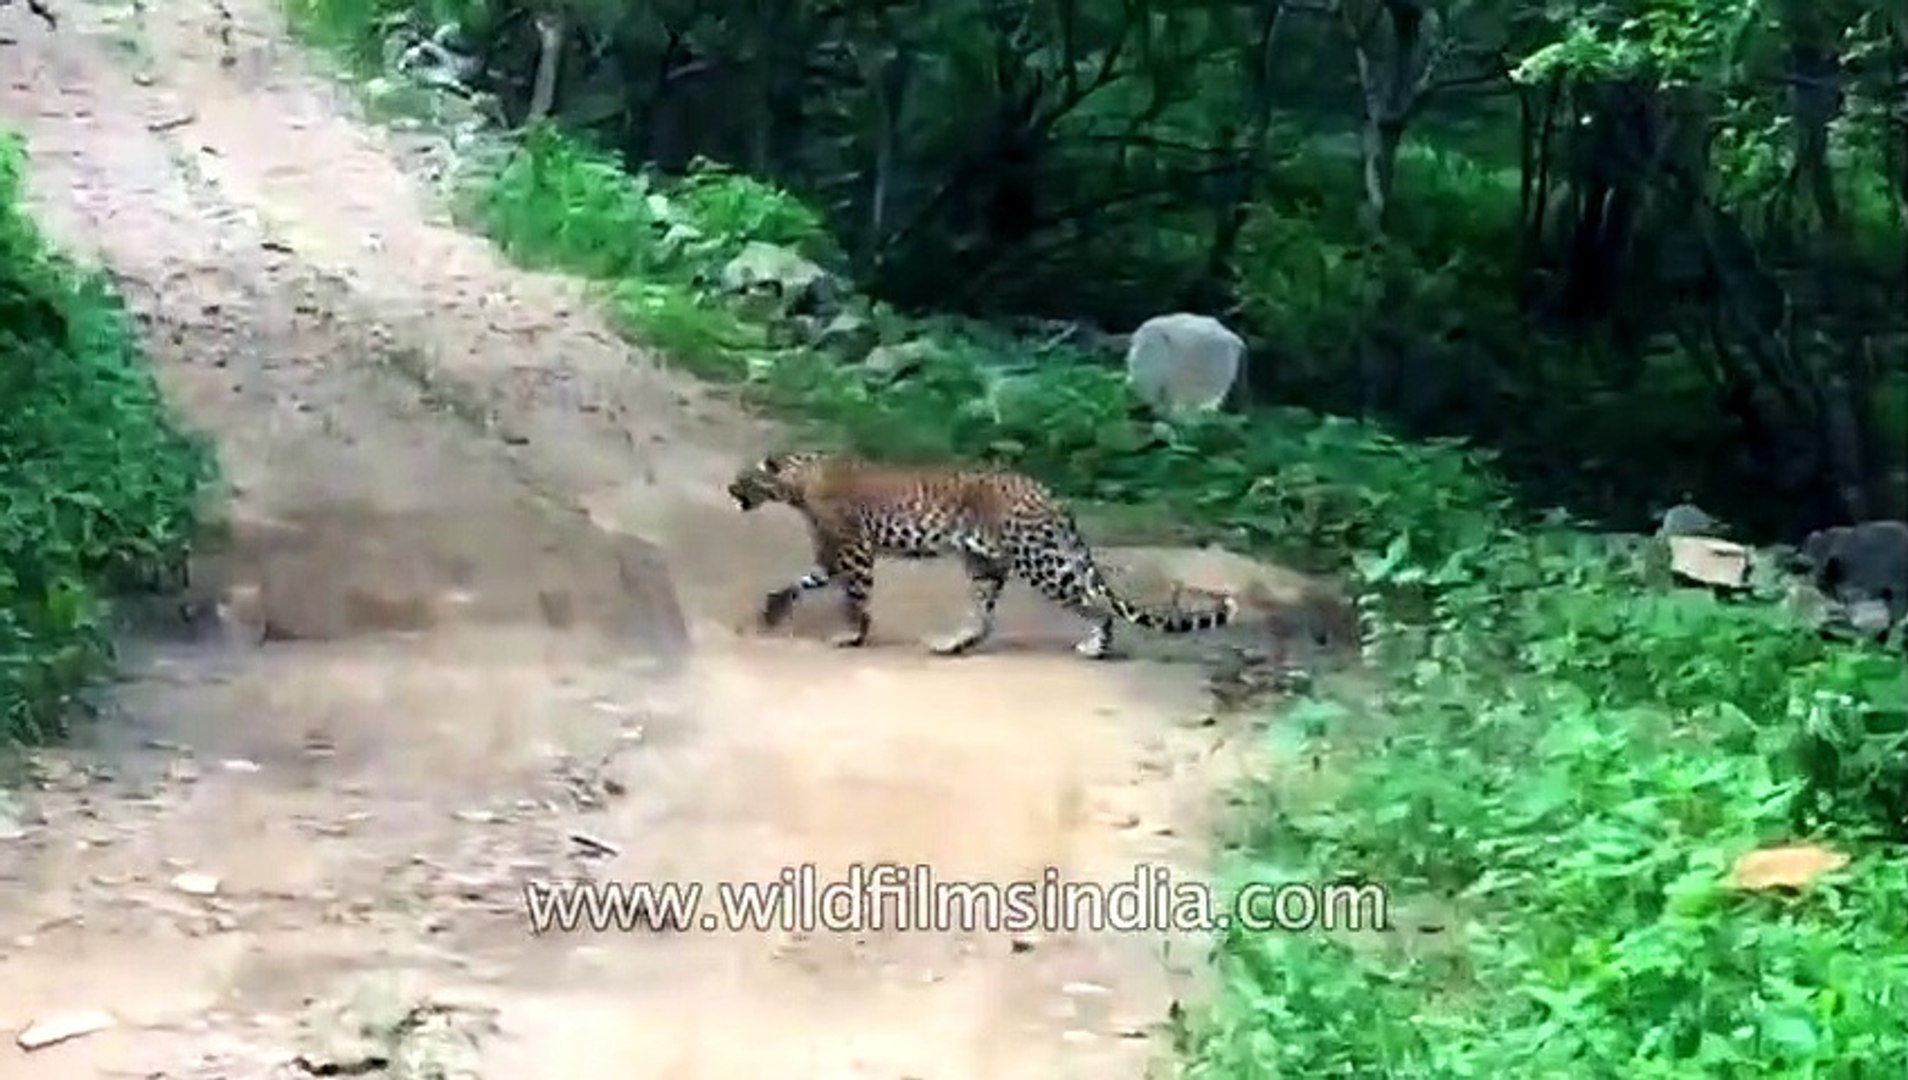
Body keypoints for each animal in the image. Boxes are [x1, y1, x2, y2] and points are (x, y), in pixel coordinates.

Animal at [726, 451, 1238, 659]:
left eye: (744, 477)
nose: (730, 489)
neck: (797, 481)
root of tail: (1048, 493)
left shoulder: (854, 552)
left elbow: (855, 595)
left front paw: (852, 635)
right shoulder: (832, 553)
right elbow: (807, 580)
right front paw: (774, 608)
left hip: (1040, 560)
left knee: (1095, 603)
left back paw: (1096, 647)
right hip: (985, 563)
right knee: (986, 616)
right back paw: (953, 644)